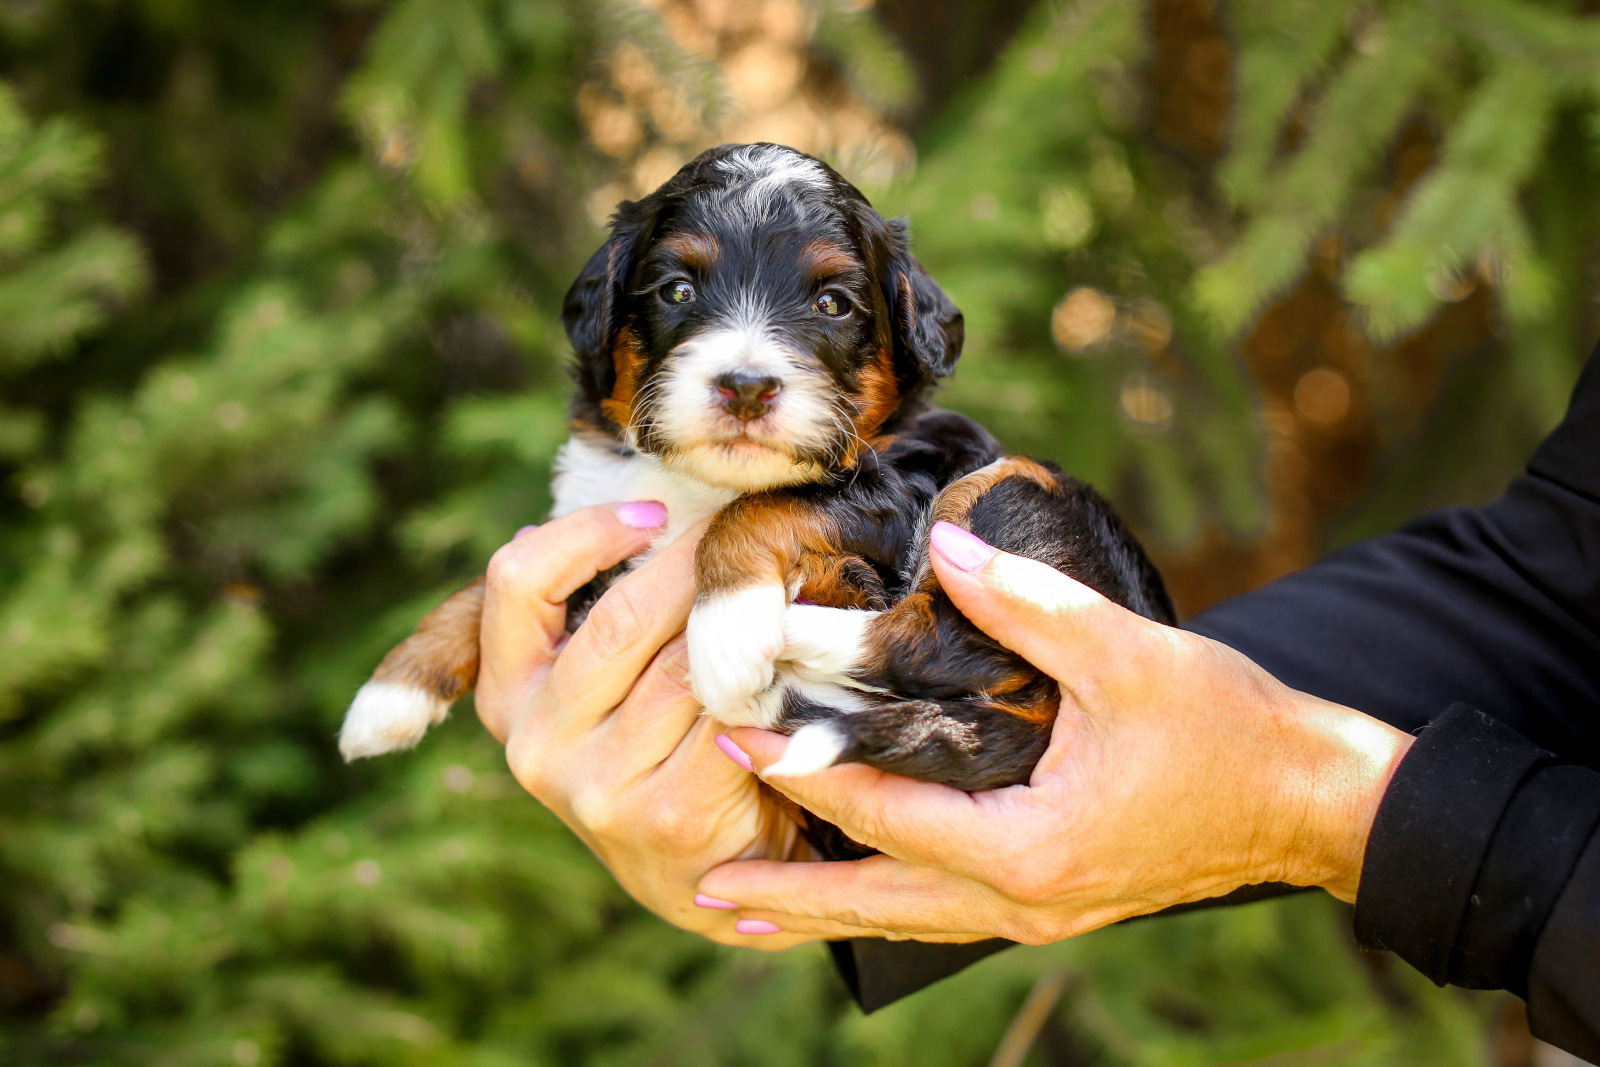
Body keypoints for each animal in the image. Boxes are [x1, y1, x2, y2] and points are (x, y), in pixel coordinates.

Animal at [337, 146, 1171, 806]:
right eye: (676, 290)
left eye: (832, 302)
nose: (745, 385)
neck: (696, 481)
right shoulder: (589, 509)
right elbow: (484, 580)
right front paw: (389, 691)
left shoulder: (897, 489)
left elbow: (763, 508)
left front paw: (727, 625)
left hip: (1008, 491)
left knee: (930, 639)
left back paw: (776, 644)